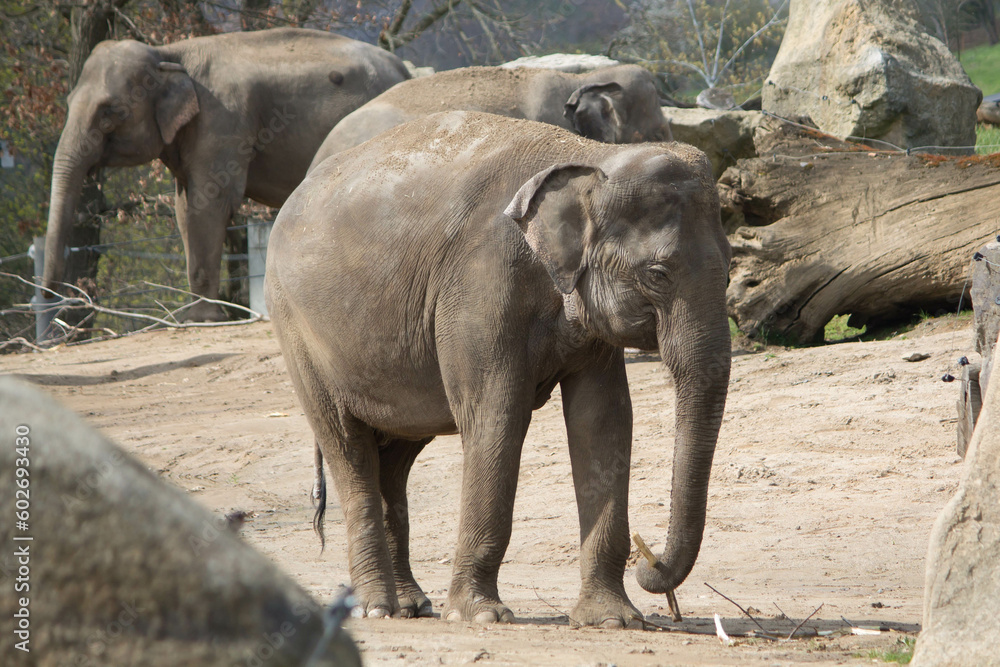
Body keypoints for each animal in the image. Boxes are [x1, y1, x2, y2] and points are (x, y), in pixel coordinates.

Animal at [43, 28, 410, 322]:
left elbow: (209, 199)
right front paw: (191, 318)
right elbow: (184, 207)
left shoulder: (222, 117)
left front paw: (204, 319)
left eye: (111, 113)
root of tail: (402, 66)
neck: (170, 54)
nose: (51, 295)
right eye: (68, 102)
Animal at [266, 111, 731, 626]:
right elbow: (496, 415)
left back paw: (410, 605)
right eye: (658, 274)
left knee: (397, 455)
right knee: (348, 448)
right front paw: (480, 616)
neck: (591, 155)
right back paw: (378, 610)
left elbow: (602, 421)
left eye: (732, 269)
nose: (648, 564)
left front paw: (613, 619)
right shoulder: (480, 285)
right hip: (295, 328)